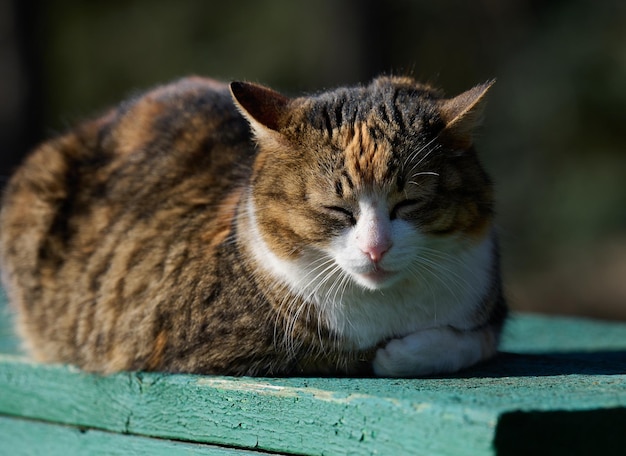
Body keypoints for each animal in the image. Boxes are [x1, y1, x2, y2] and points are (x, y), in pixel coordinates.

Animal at [0, 75, 504, 376]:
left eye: (409, 203)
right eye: (337, 210)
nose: (375, 249)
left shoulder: (487, 297)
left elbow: (479, 339)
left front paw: (413, 351)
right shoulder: (229, 343)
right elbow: (354, 354)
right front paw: (395, 354)